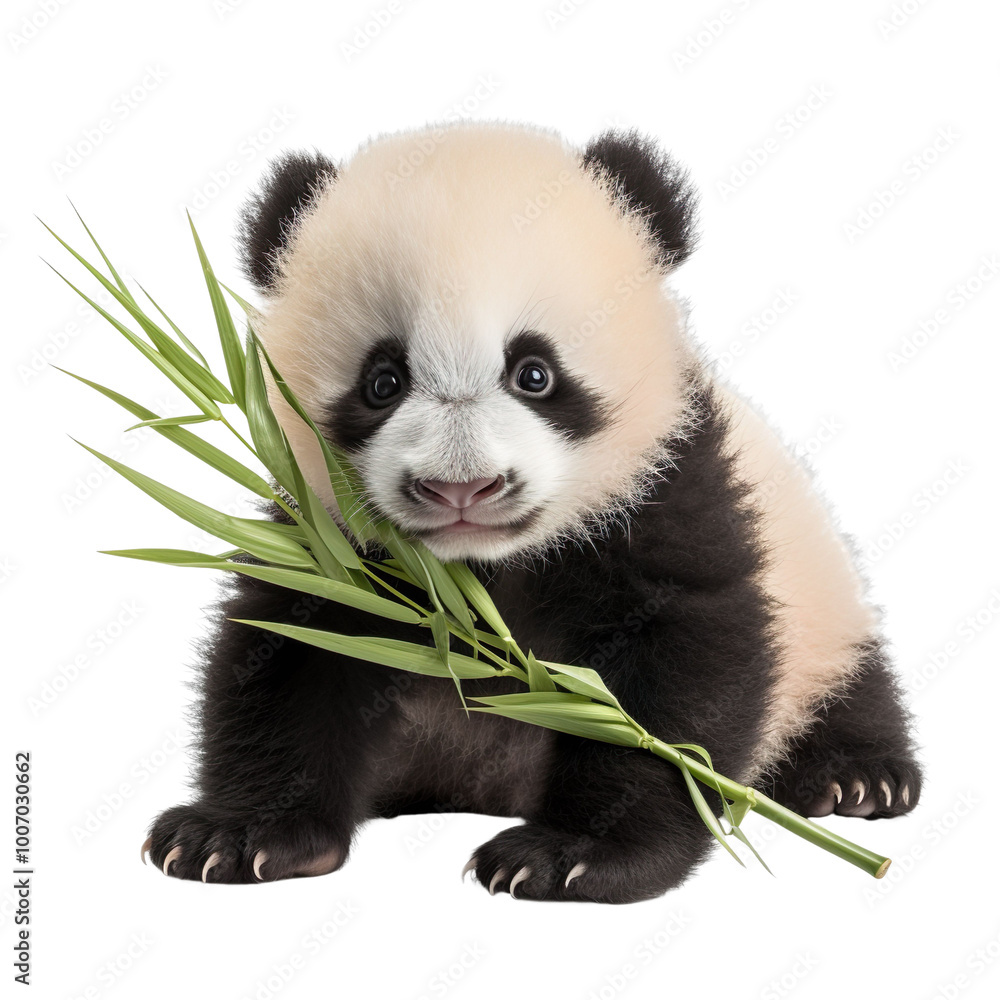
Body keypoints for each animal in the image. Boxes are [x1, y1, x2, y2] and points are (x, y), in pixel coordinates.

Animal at [143, 121, 922, 903]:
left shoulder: (670, 490)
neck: (478, 573)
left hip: (816, 590)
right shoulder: (328, 545)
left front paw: (575, 853)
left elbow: (677, 670)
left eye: (534, 374)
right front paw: (240, 834)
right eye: (382, 381)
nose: (461, 489)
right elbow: (289, 654)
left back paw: (855, 778)